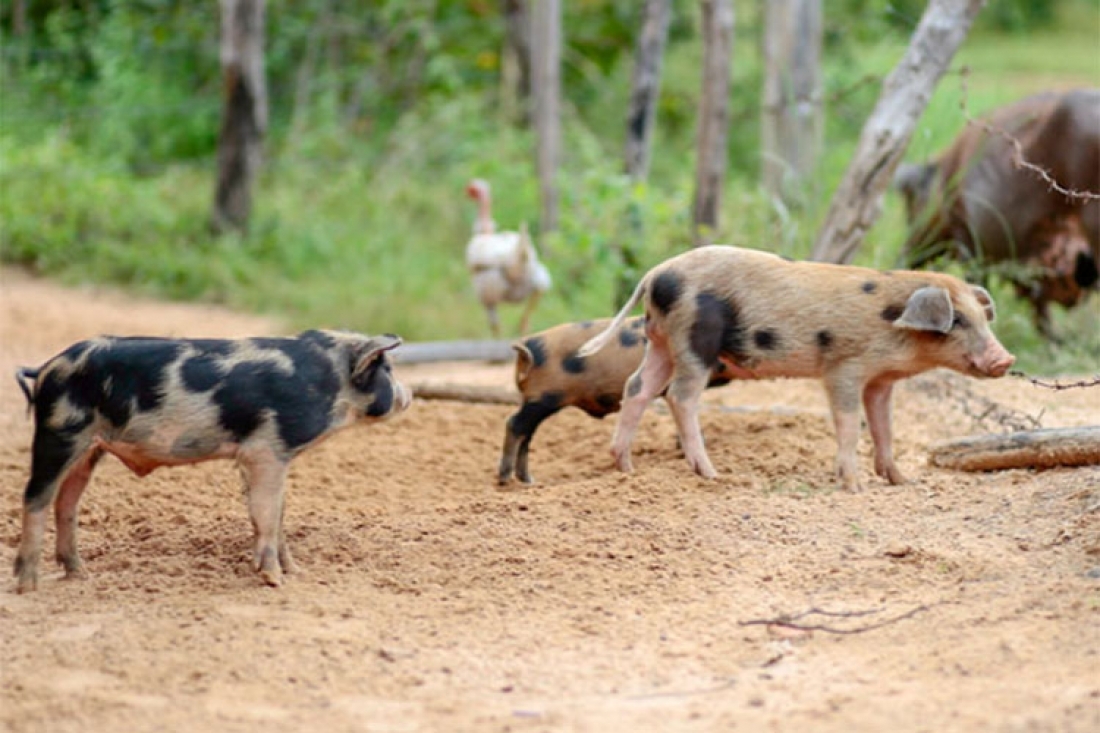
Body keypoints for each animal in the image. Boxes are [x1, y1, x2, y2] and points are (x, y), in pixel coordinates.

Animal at [12, 329, 411, 593]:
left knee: (67, 502)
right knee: (35, 498)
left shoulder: (267, 457)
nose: (408, 395)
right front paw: (274, 580)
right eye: (388, 372)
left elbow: (277, 515)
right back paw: (29, 586)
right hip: (58, 434)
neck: (326, 383)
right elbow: (267, 515)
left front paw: (297, 572)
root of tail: (46, 368)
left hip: (88, 448)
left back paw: (80, 575)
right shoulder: (265, 450)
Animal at [498, 316, 732, 485]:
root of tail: (527, 347)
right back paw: (505, 480)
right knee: (514, 424)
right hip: (543, 397)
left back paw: (528, 480)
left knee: (526, 434)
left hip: (537, 400)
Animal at [577, 245, 1015, 491]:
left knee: (637, 387)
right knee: (679, 395)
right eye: (957, 320)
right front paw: (855, 487)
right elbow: (849, 423)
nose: (1006, 359)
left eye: (983, 317)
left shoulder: (881, 380)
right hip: (694, 339)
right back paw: (711, 474)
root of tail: (655, 274)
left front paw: (902, 480)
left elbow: (884, 426)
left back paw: (625, 468)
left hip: (661, 342)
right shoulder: (843, 368)